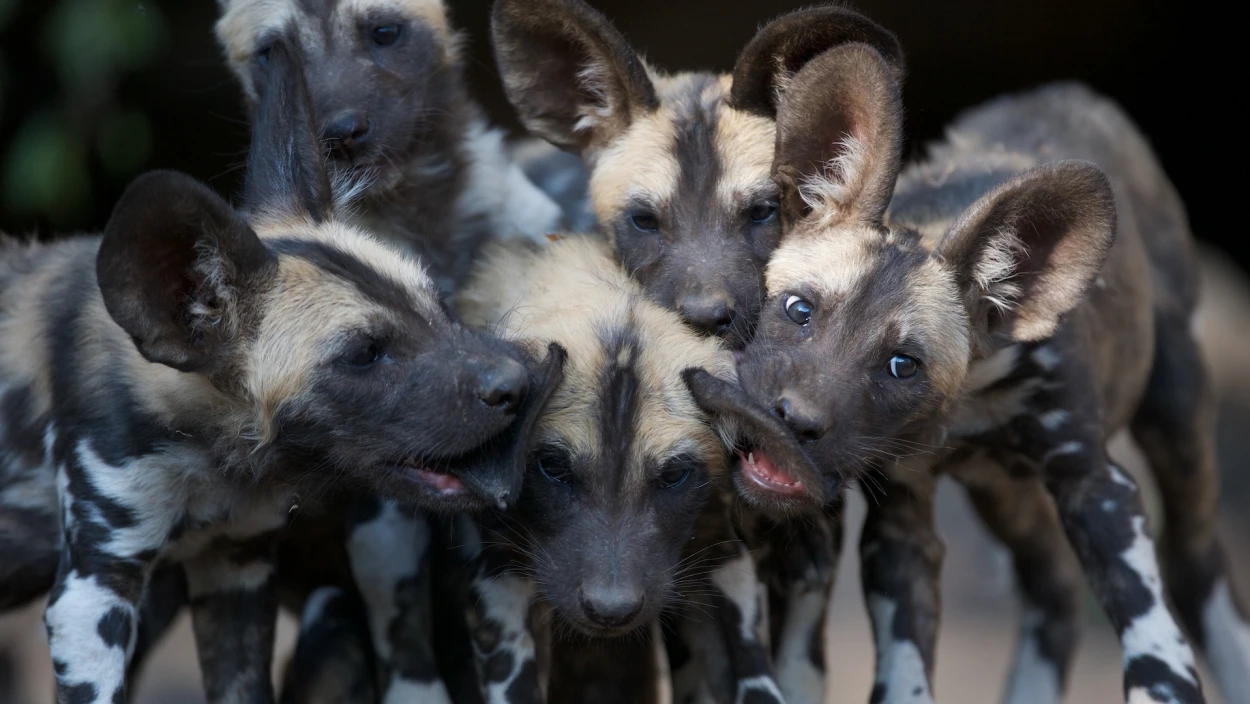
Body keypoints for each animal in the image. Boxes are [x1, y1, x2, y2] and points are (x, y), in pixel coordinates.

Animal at [0, 42, 562, 704]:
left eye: (438, 305)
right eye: (365, 353)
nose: (517, 382)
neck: (211, 459)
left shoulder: (235, 570)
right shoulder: (91, 595)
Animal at [690, 44, 1245, 704]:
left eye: (902, 365)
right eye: (799, 310)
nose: (791, 421)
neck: (963, 408)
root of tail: (1068, 92)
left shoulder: (1098, 488)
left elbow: (1156, 652)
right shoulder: (901, 524)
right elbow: (904, 674)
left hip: (1174, 417)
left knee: (1195, 562)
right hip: (1004, 493)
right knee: (1053, 585)